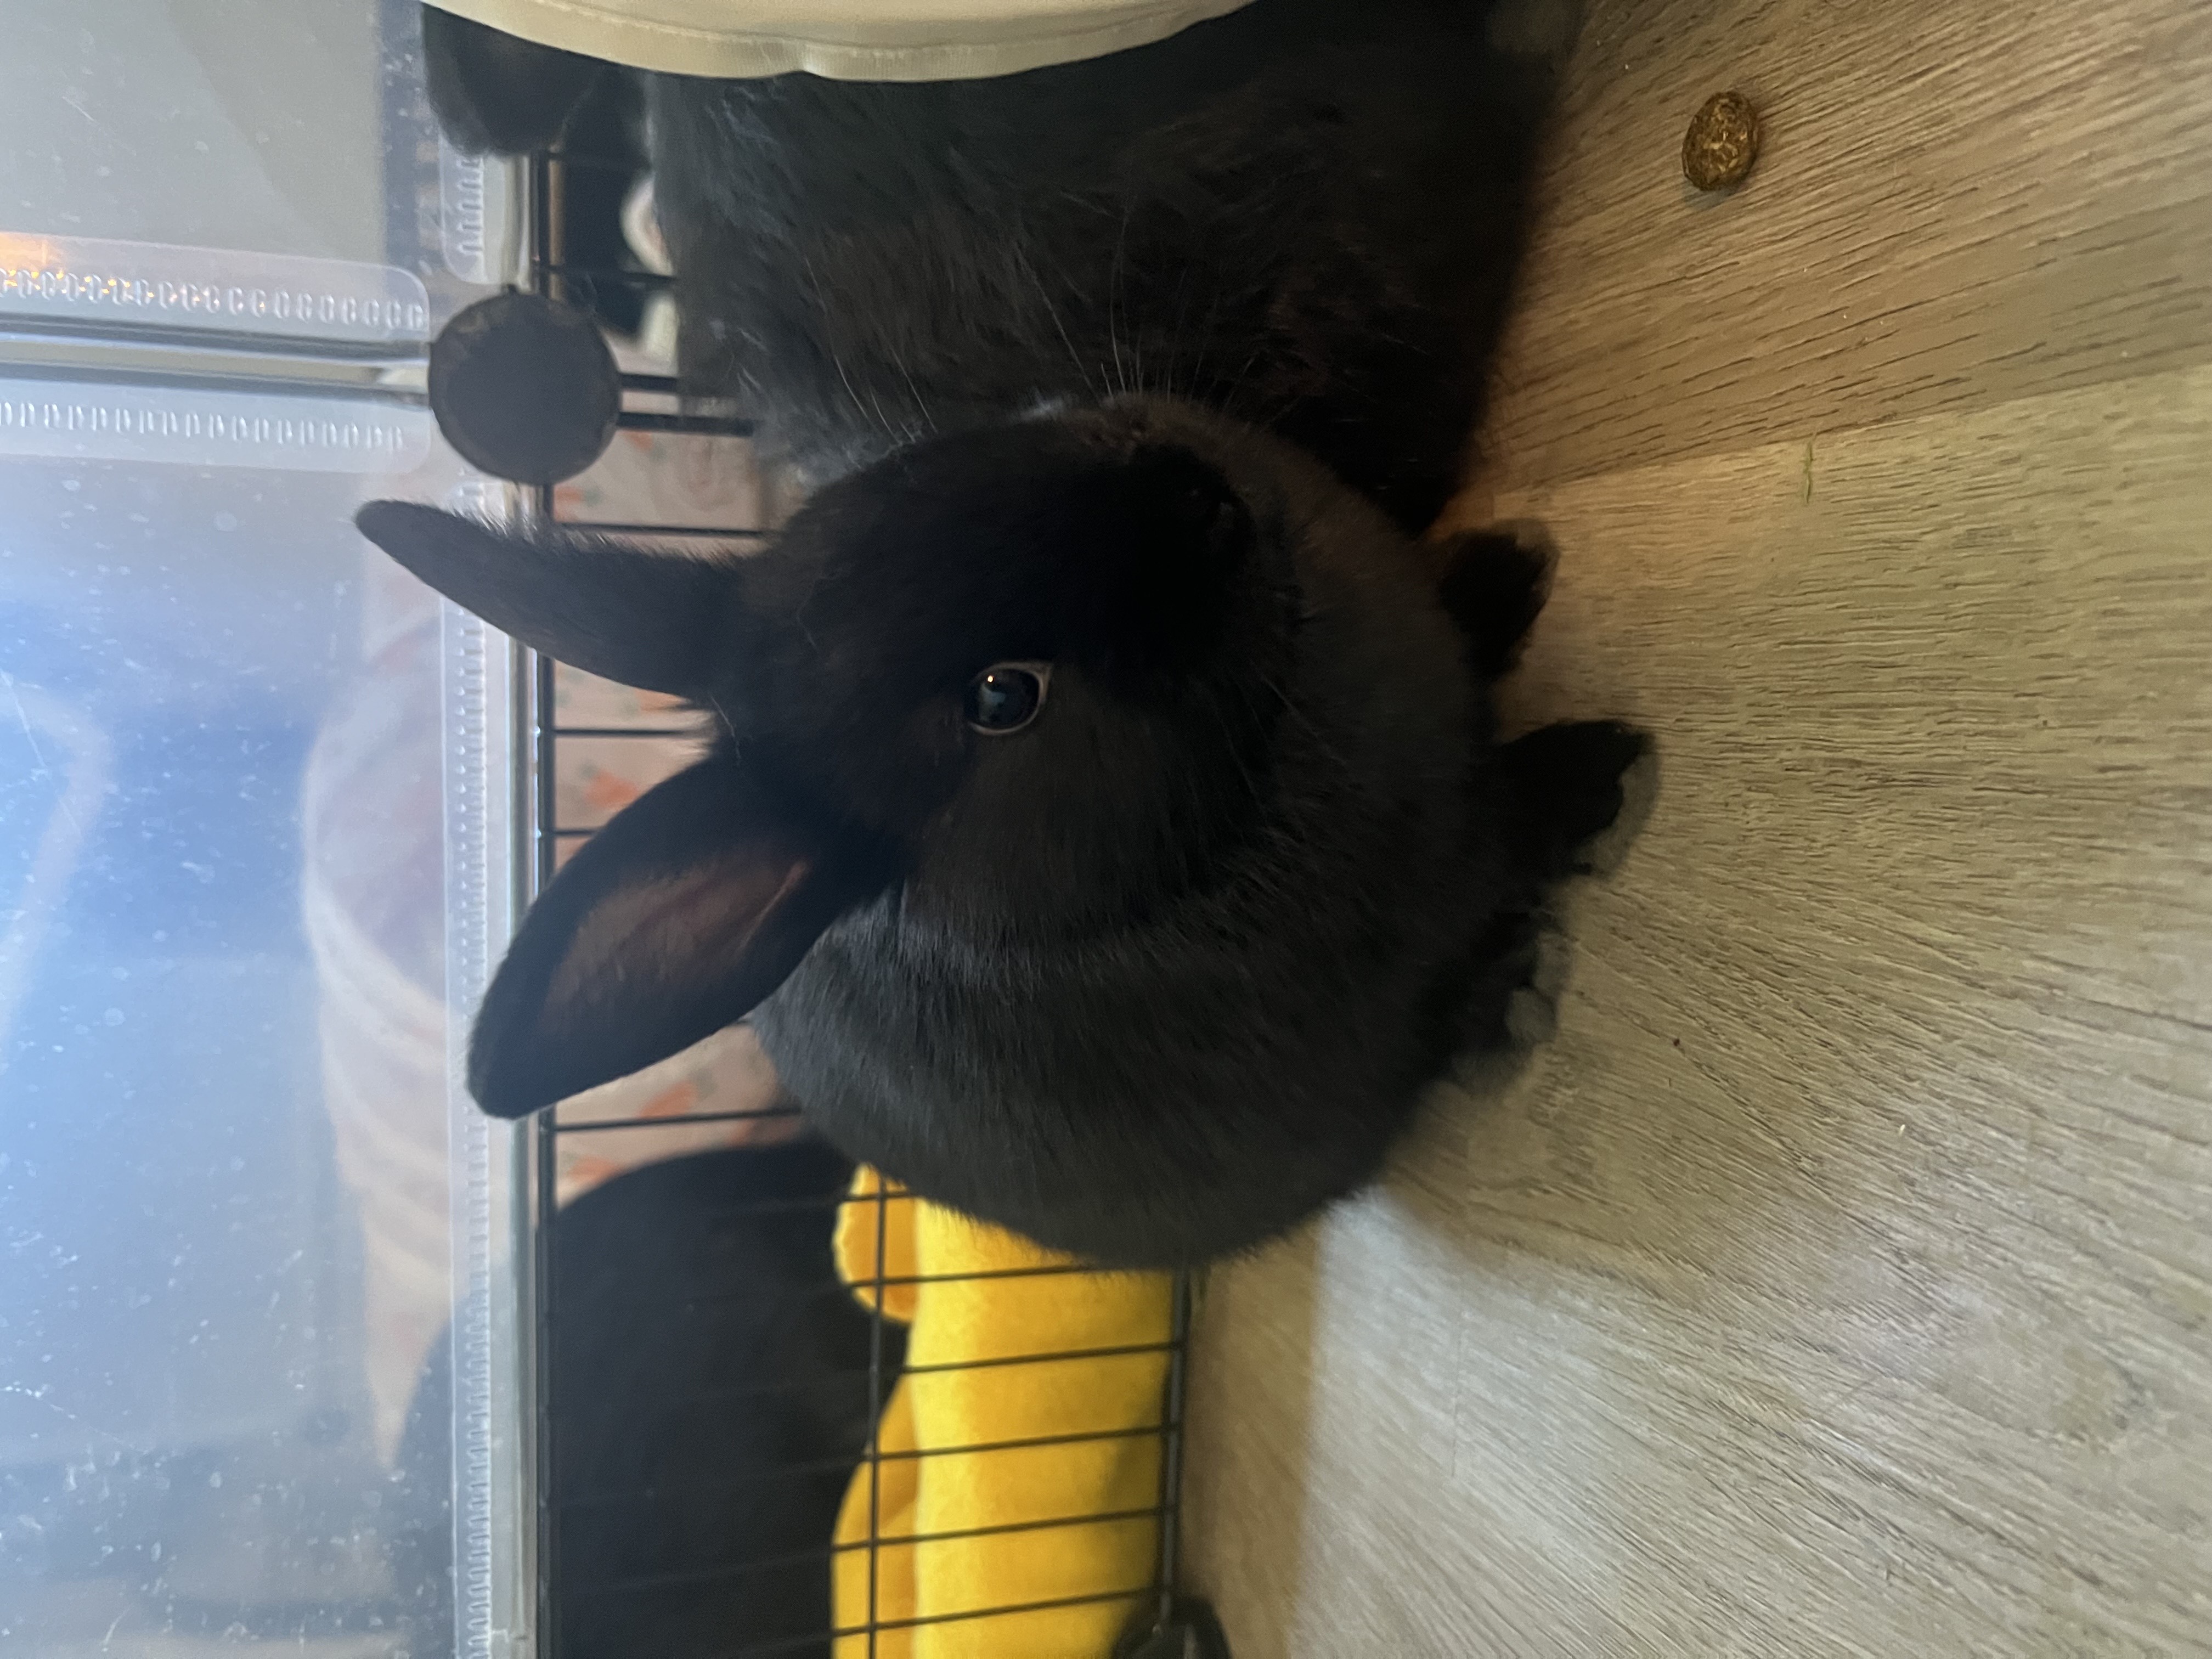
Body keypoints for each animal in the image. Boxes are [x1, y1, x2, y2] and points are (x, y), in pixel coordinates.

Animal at [356, 394, 1648, 1268]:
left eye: (899, 491)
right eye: (1001, 696)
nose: (1193, 486)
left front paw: (1507, 569)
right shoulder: (1444, 870)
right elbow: (1506, 820)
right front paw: (1613, 766)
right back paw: (1513, 997)